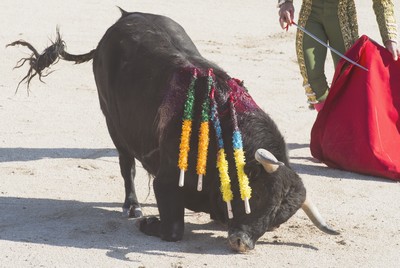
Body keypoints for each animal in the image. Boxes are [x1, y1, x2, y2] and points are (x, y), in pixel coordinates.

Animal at [8, 10, 338, 252]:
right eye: (256, 198)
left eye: (277, 220)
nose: (241, 243)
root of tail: (122, 20)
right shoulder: (165, 183)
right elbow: (175, 229)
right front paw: (148, 223)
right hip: (113, 123)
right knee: (126, 164)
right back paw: (133, 208)